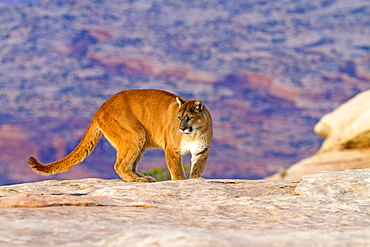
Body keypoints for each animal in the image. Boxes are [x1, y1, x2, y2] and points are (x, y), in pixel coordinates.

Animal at [28, 89, 214, 182]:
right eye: (179, 118)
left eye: (188, 118)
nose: (181, 128)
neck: (194, 133)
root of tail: (101, 107)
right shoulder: (172, 150)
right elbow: (176, 170)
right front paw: (181, 181)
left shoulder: (202, 150)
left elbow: (197, 167)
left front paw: (195, 179)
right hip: (135, 135)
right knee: (120, 165)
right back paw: (139, 180)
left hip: (140, 141)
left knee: (130, 165)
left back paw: (144, 177)